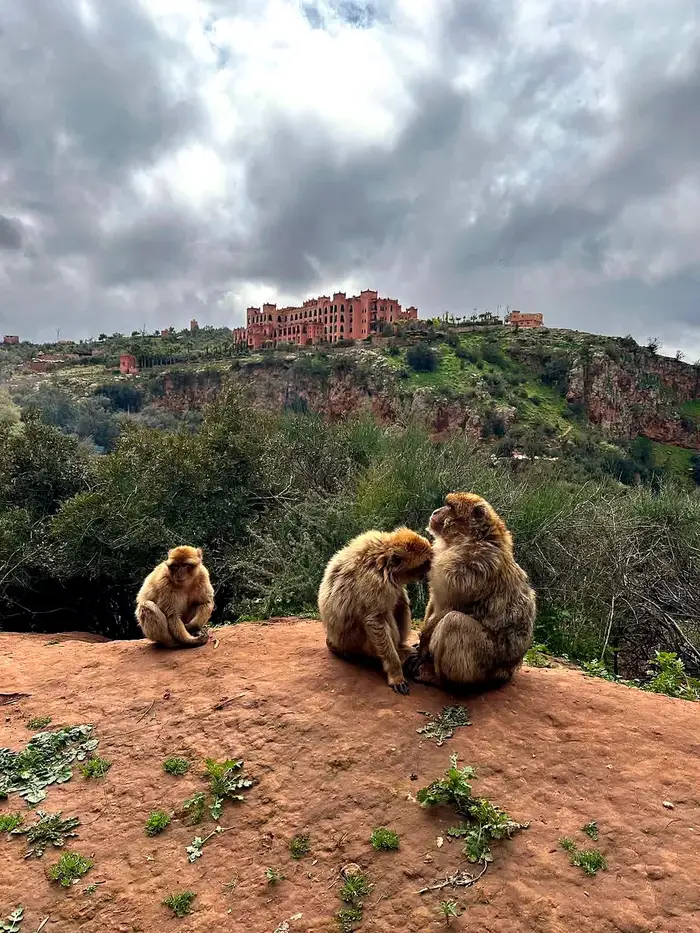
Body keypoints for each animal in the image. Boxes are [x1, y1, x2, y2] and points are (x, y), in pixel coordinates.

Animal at [318, 528, 432, 695]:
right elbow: (375, 620)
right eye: (424, 563)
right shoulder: (375, 581)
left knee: (400, 602)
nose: (428, 572)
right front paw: (395, 673)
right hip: (356, 644)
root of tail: (335, 642)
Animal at [405, 493, 535, 690]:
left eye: (450, 507)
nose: (436, 511)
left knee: (454, 621)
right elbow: (436, 599)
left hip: (485, 664)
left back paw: (441, 680)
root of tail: (508, 670)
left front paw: (424, 646)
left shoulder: (469, 567)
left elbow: (451, 606)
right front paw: (421, 644)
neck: (467, 540)